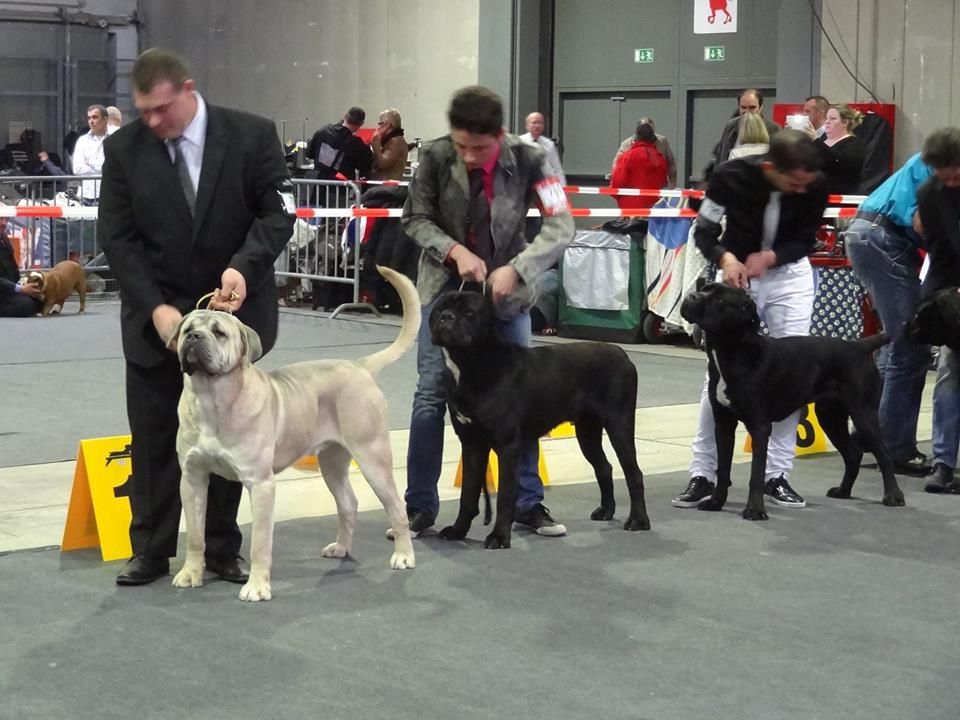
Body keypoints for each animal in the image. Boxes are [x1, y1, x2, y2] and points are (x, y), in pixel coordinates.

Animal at [168, 264, 420, 600]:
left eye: (219, 333)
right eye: (187, 330)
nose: (194, 337)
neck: (212, 398)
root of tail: (360, 366)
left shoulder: (260, 483)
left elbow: (260, 542)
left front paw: (257, 587)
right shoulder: (193, 478)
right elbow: (196, 535)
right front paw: (190, 574)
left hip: (372, 457)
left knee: (396, 507)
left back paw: (404, 555)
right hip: (332, 461)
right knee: (348, 503)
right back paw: (341, 548)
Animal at [430, 290, 648, 548]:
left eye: (468, 312)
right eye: (438, 308)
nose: (446, 316)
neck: (471, 363)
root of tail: (623, 355)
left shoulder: (508, 446)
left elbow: (505, 495)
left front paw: (499, 537)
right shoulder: (472, 444)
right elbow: (468, 493)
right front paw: (458, 530)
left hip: (619, 424)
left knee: (633, 472)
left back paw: (638, 521)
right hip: (587, 431)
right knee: (604, 467)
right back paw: (606, 510)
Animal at [680, 284, 904, 520]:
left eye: (720, 300)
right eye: (704, 288)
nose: (692, 296)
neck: (731, 351)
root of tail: (860, 346)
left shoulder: (759, 427)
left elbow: (756, 474)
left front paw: (755, 510)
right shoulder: (723, 424)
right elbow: (723, 469)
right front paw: (716, 502)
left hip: (863, 413)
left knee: (884, 455)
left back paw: (893, 496)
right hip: (830, 417)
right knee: (853, 454)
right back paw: (843, 491)